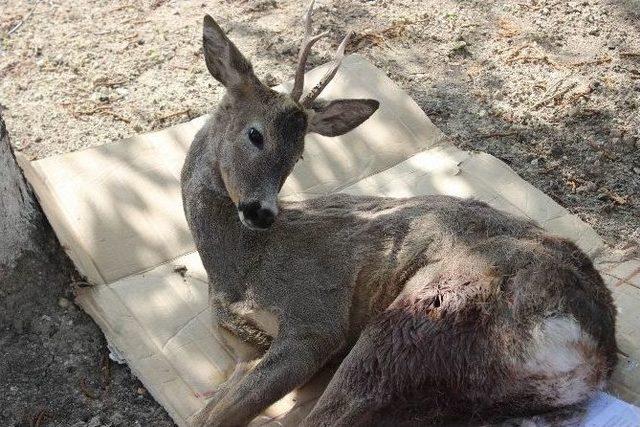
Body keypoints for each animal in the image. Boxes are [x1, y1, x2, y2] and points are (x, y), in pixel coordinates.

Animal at [179, 4, 616, 427]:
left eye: (298, 156)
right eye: (255, 134)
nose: (262, 212)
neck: (239, 269)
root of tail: (590, 348)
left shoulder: (315, 317)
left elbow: (217, 417)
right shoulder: (241, 348)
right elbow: (207, 412)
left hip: (420, 315)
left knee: (332, 413)